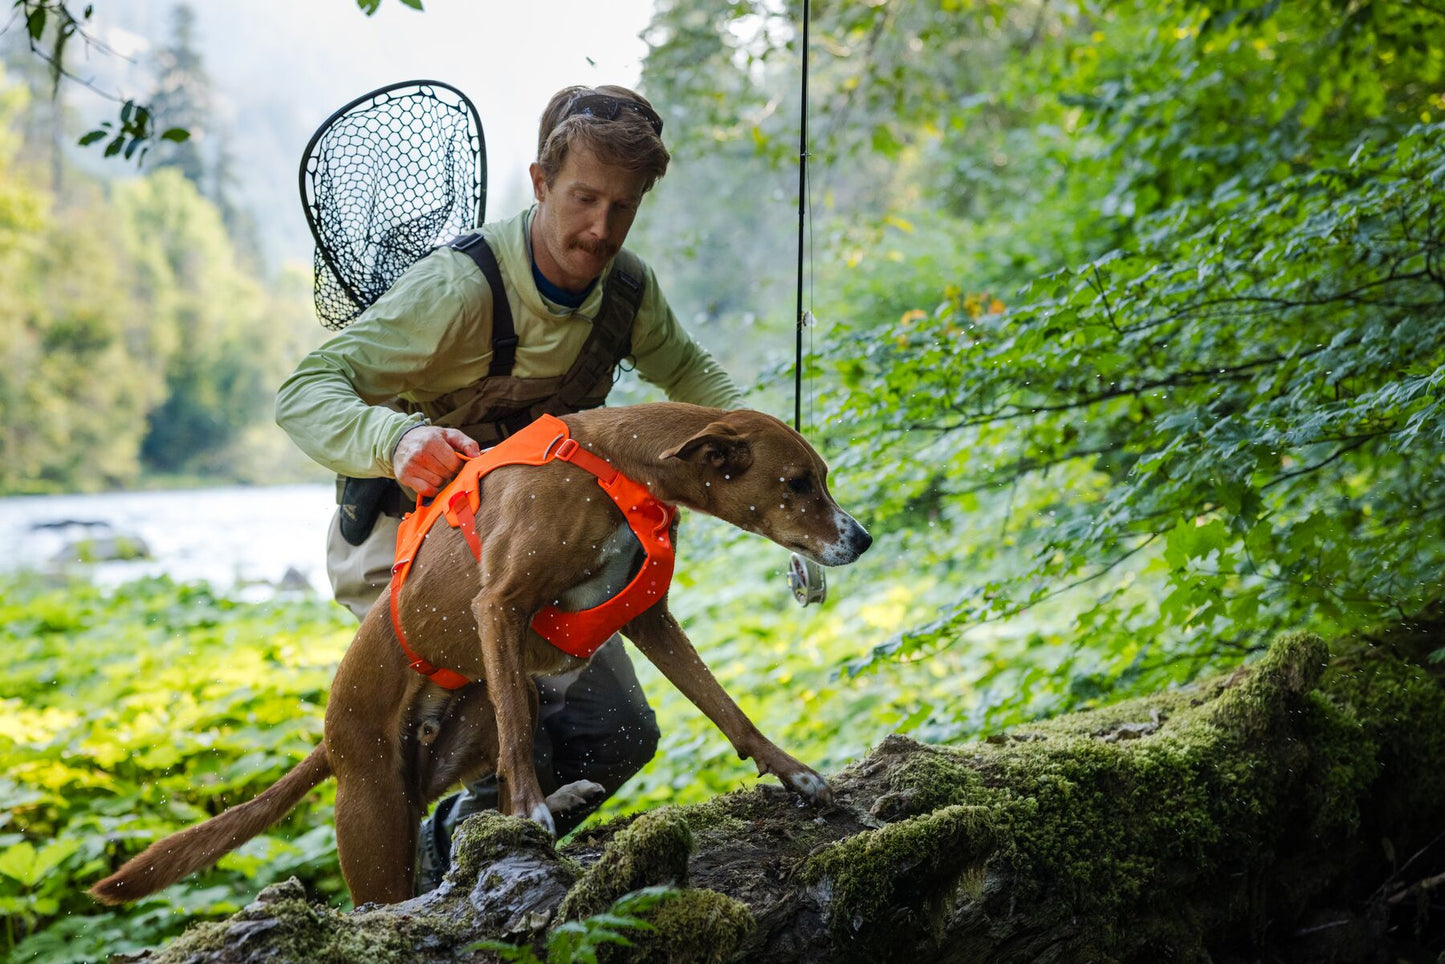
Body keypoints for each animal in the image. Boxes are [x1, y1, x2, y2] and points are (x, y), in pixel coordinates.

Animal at [96, 404, 872, 907]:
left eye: (822, 477)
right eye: (798, 484)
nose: (861, 539)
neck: (613, 467)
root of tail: (330, 737)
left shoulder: (646, 617)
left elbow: (726, 709)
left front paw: (795, 774)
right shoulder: (497, 605)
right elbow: (521, 740)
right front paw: (531, 811)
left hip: (469, 729)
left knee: (479, 783)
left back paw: (556, 799)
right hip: (377, 820)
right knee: (401, 877)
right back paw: (531, 813)